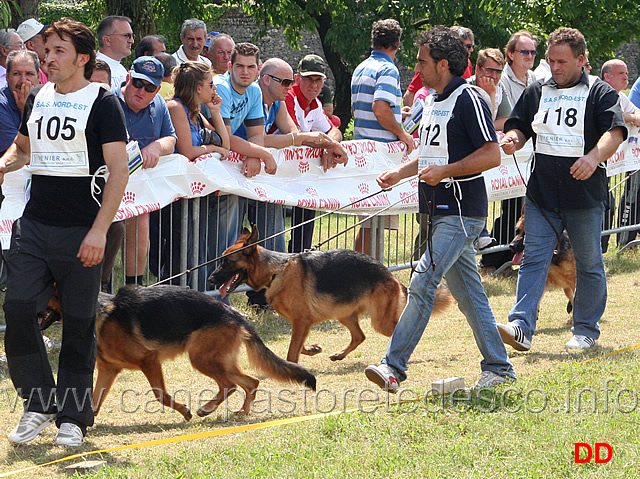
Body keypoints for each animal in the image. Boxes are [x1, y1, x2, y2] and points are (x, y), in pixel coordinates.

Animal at [43, 286, 316, 422]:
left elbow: (160, 395)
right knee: (251, 382)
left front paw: (184, 411)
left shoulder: (149, 361)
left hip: (201, 359)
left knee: (230, 385)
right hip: (217, 360)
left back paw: (206, 409)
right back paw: (242, 412)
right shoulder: (109, 370)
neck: (101, 313)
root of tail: (234, 314)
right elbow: (94, 401)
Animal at [208, 227, 452, 366]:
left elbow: (291, 351)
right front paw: (312, 349)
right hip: (344, 314)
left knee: (398, 331)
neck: (276, 270)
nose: (210, 280)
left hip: (379, 321)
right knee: (359, 336)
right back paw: (340, 355)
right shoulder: (301, 323)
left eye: (226, 263)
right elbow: (297, 345)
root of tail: (389, 275)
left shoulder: (302, 321)